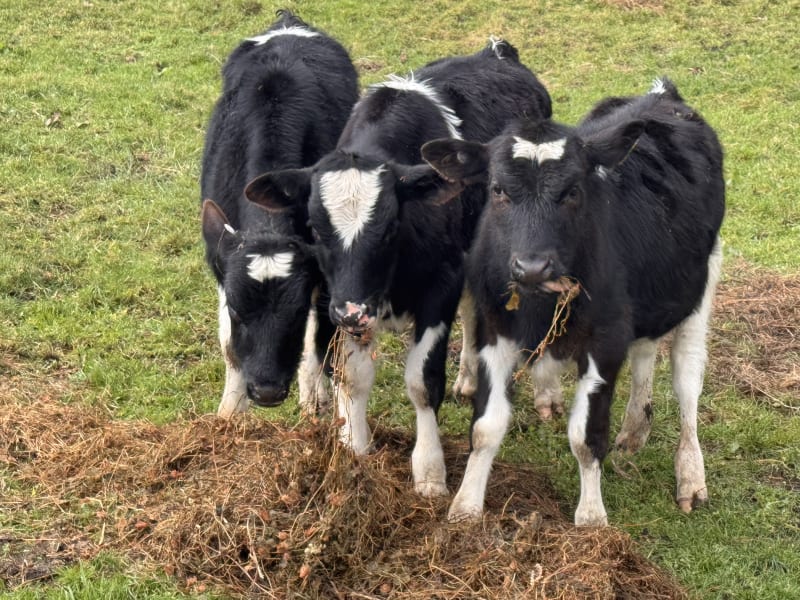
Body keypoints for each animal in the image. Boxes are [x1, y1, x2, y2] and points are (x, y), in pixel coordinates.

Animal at [200, 10, 359, 418]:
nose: (267, 391)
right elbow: (230, 346)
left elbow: (320, 341)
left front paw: (316, 399)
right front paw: (228, 416)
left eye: (296, 311)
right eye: (238, 310)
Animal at [244, 40, 552, 497]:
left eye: (391, 227)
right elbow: (353, 376)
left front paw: (429, 472)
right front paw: (354, 449)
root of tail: (498, 52)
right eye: (314, 229)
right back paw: (467, 378)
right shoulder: (341, 299)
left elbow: (422, 382)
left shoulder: (440, 285)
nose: (352, 311)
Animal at [421, 77, 725, 525]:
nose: (532, 266)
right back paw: (634, 429)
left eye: (573, 191)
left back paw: (690, 475)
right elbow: (485, 427)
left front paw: (592, 517)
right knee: (645, 352)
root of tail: (662, 95)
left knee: (687, 380)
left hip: (700, 288)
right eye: (497, 189)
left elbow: (585, 436)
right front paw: (466, 506)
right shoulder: (494, 329)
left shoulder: (605, 341)